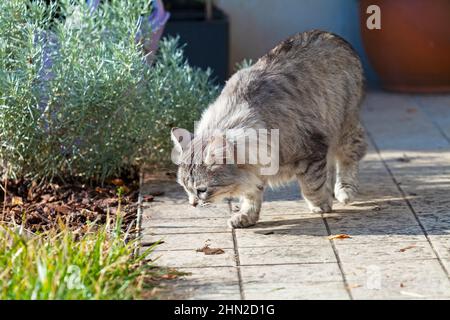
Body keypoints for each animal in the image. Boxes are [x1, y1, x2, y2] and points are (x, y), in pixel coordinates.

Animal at [171, 30, 366, 228]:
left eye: (201, 190)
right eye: (186, 188)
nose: (193, 203)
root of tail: (332, 34)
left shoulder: (311, 150)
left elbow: (312, 186)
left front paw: (321, 204)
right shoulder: (255, 168)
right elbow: (251, 195)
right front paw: (246, 216)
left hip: (344, 125)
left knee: (349, 155)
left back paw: (344, 190)